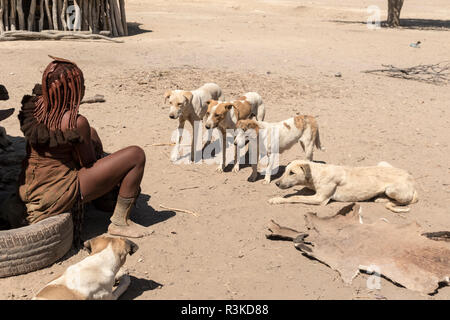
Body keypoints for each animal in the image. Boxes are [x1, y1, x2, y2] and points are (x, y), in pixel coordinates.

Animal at [268, 159, 418, 212]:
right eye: (285, 171)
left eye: (292, 173)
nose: (276, 183)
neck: (317, 172)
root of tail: (412, 180)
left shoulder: (320, 199)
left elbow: (295, 197)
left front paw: (276, 199)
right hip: (382, 163)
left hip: (392, 190)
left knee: (407, 201)